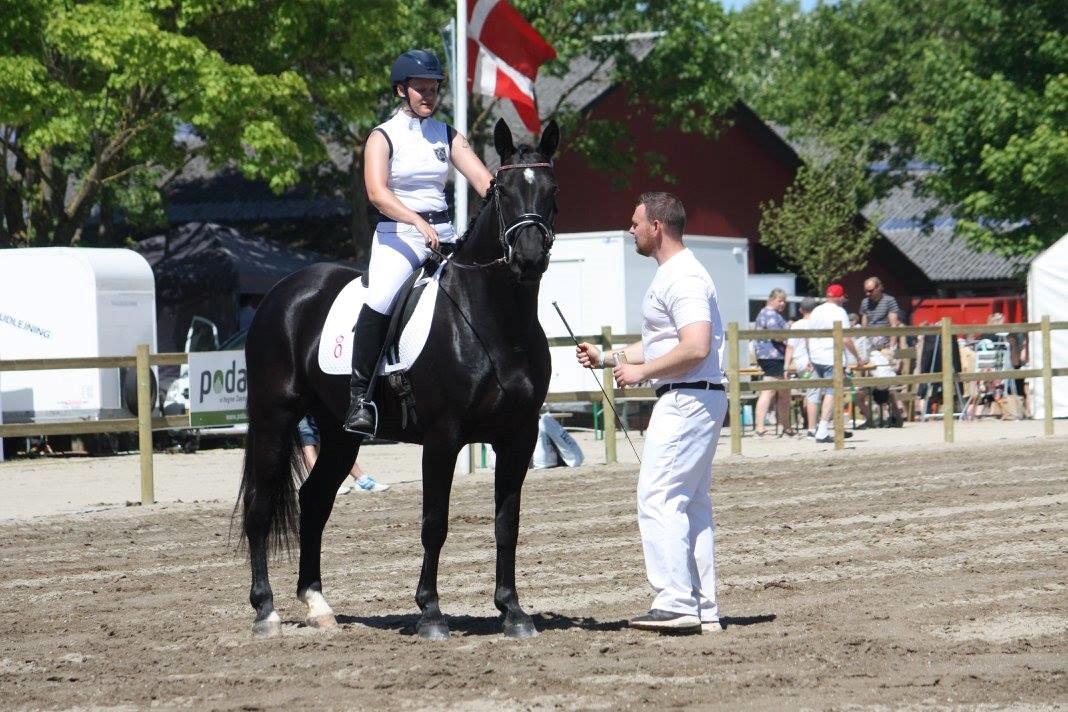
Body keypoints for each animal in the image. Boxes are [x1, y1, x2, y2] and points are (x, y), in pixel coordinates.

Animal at [239, 119, 563, 644]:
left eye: (551, 190)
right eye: (504, 191)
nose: (529, 257)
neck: (495, 322)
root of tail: (283, 293)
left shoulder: (519, 436)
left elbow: (507, 524)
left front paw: (513, 612)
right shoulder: (443, 437)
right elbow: (435, 523)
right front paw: (430, 614)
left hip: (340, 433)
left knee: (314, 501)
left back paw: (318, 605)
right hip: (274, 416)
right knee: (261, 506)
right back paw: (265, 612)